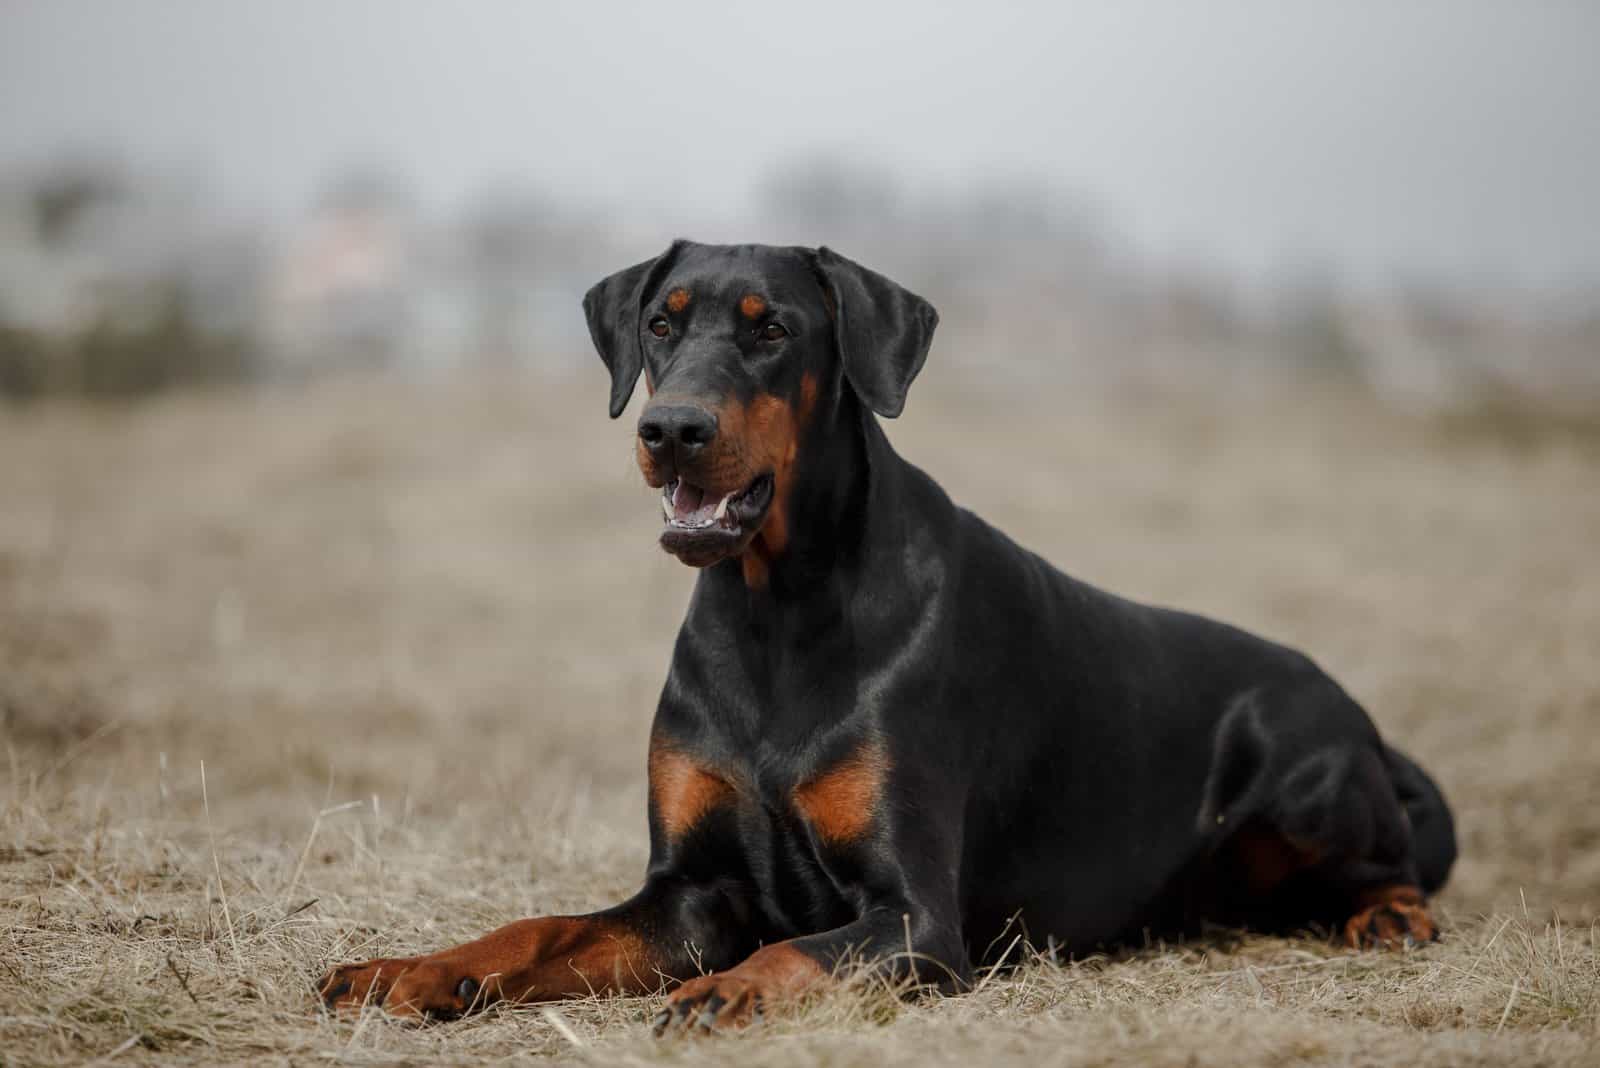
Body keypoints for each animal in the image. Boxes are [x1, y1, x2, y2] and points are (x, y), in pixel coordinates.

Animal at [318, 244, 1459, 1036]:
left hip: (1300, 765)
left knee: (1399, 866)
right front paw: (412, 968)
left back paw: (1390, 915)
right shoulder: (688, 894)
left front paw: (726, 994)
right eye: (659, 323)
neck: (774, 612)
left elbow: (796, 954)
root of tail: (1364, 722)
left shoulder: (916, 920)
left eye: (772, 328)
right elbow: (541, 927)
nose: (671, 430)